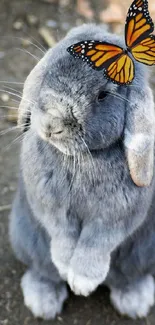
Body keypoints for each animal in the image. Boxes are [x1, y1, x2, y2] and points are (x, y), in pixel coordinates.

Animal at [9, 24, 155, 318]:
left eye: (103, 95)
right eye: (48, 72)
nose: (51, 125)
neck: (80, 158)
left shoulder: (115, 217)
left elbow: (96, 243)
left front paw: (83, 282)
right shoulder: (50, 207)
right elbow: (62, 234)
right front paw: (67, 268)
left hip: (144, 253)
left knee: (127, 278)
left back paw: (135, 302)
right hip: (26, 238)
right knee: (44, 271)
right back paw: (43, 302)